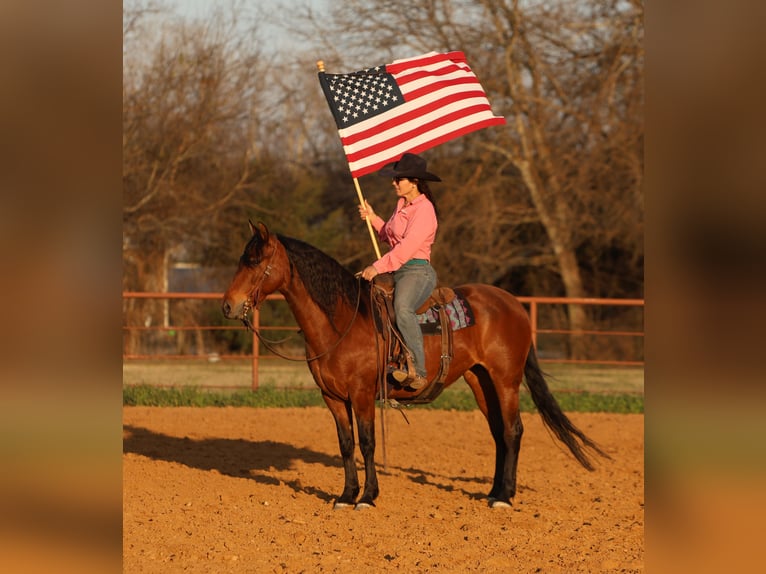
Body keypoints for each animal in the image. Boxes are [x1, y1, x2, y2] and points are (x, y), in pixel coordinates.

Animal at [224, 223, 612, 510]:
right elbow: (346, 445)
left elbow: (367, 443)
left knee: (513, 430)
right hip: (480, 380)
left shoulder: (362, 395)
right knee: (499, 432)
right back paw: (495, 491)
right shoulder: (332, 398)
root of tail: (513, 304)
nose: (228, 305)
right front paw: (346, 496)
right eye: (241, 259)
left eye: (255, 262)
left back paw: (504, 497)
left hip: (506, 380)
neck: (343, 320)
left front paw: (368, 497)